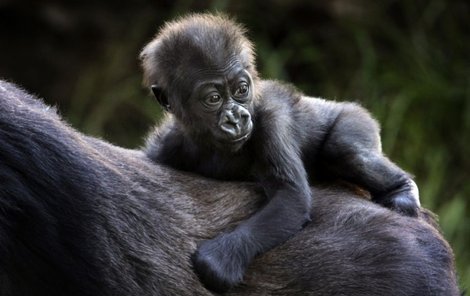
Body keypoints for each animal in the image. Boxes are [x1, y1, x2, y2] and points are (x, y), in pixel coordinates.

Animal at [141, 14, 420, 294]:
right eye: (213, 98)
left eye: (241, 89)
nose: (237, 119)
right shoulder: (165, 146)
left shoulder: (271, 121)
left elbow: (291, 197)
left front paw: (221, 259)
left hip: (358, 118)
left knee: (347, 151)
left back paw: (402, 189)